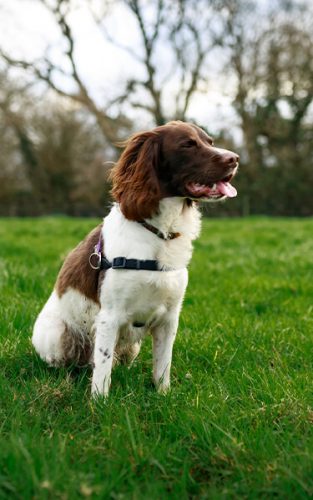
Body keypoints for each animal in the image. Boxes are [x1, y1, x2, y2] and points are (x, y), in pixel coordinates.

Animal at [31, 119, 238, 396]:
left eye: (210, 142)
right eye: (187, 144)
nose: (234, 159)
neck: (160, 233)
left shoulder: (169, 318)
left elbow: (162, 365)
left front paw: (163, 396)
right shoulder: (109, 317)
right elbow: (102, 369)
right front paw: (99, 402)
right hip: (56, 334)